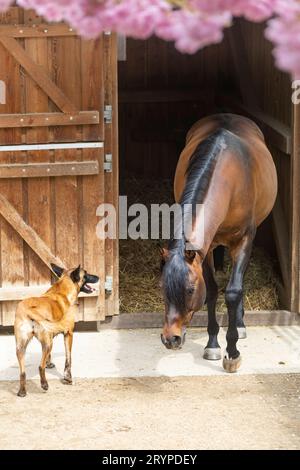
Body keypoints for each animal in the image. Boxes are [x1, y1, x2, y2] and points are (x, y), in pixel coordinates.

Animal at [14, 264, 98, 396]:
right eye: (86, 274)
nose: (98, 277)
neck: (62, 290)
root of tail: (28, 310)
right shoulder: (69, 334)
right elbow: (68, 358)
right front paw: (68, 378)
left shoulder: (50, 337)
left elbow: (49, 356)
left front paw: (49, 363)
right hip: (48, 343)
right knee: (40, 366)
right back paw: (44, 384)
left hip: (21, 347)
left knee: (22, 372)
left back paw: (22, 391)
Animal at [161, 113, 278, 370]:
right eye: (162, 288)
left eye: (190, 289)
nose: (170, 339)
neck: (228, 181)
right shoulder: (204, 250)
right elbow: (213, 291)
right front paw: (213, 345)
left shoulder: (244, 240)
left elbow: (233, 291)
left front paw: (232, 352)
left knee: (239, 282)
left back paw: (241, 324)